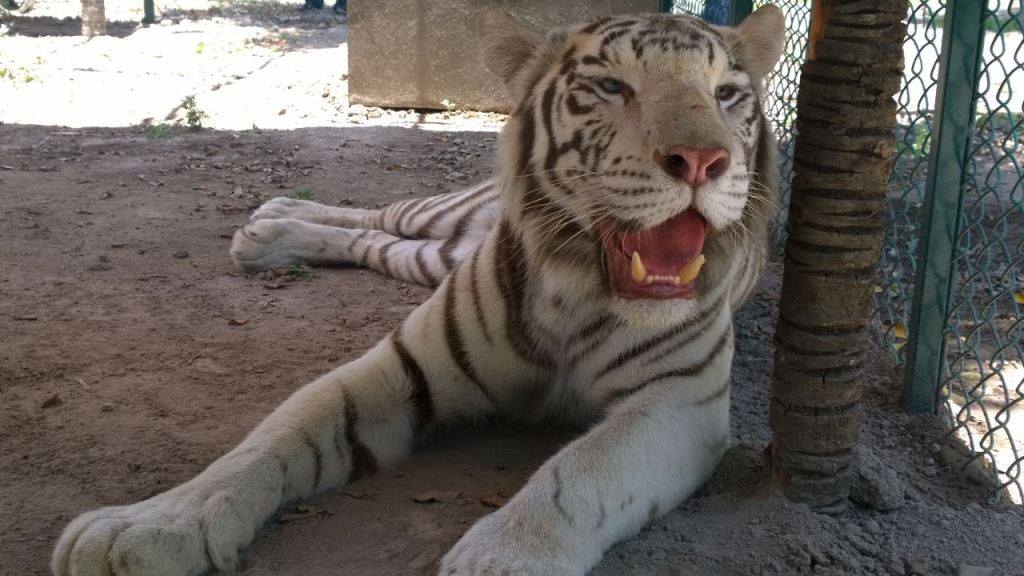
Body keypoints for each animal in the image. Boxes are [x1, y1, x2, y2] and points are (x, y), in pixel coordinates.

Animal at [54, 7, 782, 573]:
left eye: (726, 94)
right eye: (611, 85)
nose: (703, 161)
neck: (577, 290)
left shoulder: (680, 402)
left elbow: (581, 473)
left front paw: (501, 560)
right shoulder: (403, 366)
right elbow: (272, 436)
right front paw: (148, 527)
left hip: (430, 255)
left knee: (377, 244)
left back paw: (267, 232)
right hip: (434, 219)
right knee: (378, 217)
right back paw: (270, 225)